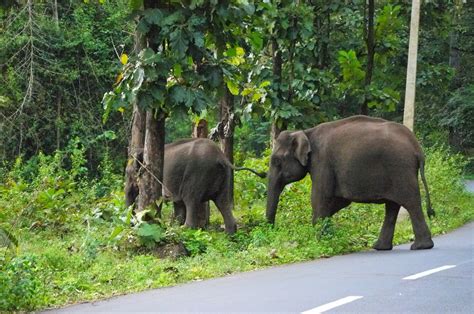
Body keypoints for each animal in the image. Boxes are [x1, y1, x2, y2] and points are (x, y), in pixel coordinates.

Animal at [264, 115, 436, 250]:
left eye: (277, 161)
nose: (272, 229)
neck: (306, 132)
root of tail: (417, 148)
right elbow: (339, 201)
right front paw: (327, 236)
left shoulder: (322, 162)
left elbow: (320, 198)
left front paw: (319, 242)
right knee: (392, 206)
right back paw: (380, 247)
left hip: (400, 169)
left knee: (411, 203)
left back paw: (420, 246)